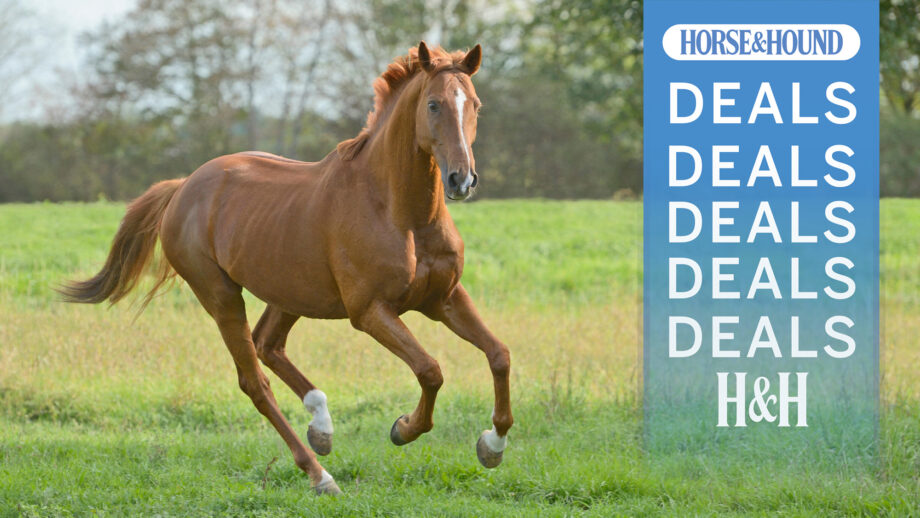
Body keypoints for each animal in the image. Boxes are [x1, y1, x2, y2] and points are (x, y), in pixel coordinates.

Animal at [62, 42, 513, 495]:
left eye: (475, 104)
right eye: (434, 104)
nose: (461, 180)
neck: (399, 212)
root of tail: (183, 187)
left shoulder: (443, 298)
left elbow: (498, 354)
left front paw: (491, 447)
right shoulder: (370, 312)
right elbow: (430, 370)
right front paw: (403, 428)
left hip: (290, 292)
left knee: (268, 344)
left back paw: (322, 428)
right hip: (221, 296)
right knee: (254, 381)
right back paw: (320, 474)